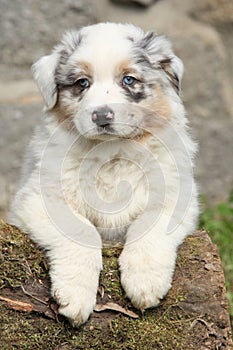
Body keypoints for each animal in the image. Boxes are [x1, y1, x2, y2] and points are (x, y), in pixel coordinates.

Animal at [8, 23, 198, 326]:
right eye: (82, 83)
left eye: (129, 80)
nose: (101, 116)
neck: (111, 153)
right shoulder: (39, 197)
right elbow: (81, 230)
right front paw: (75, 295)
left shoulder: (175, 194)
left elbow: (149, 226)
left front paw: (145, 283)